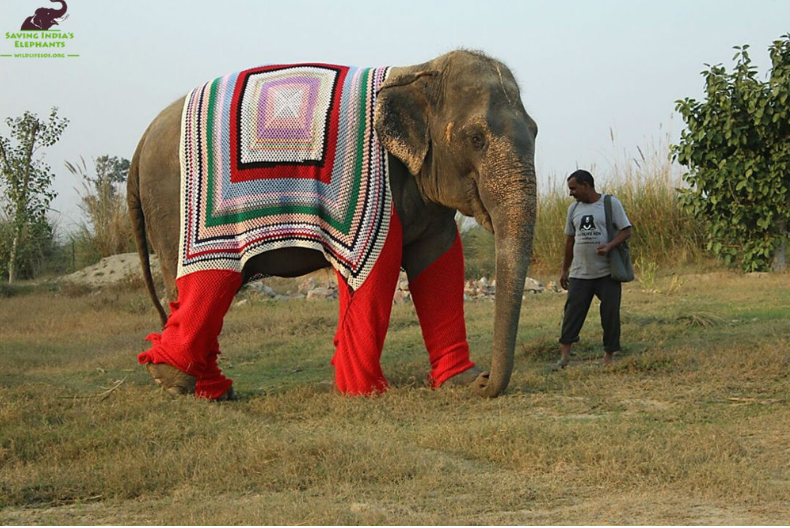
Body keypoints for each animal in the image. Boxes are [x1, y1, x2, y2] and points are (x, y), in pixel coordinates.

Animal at [128, 50, 537, 399]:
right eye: (476, 139)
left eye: (534, 131)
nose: (486, 380)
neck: (420, 69)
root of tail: (142, 139)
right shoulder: (378, 194)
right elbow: (381, 265)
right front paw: (366, 392)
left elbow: (440, 259)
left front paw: (459, 381)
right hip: (175, 202)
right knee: (205, 283)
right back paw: (179, 383)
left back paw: (210, 389)